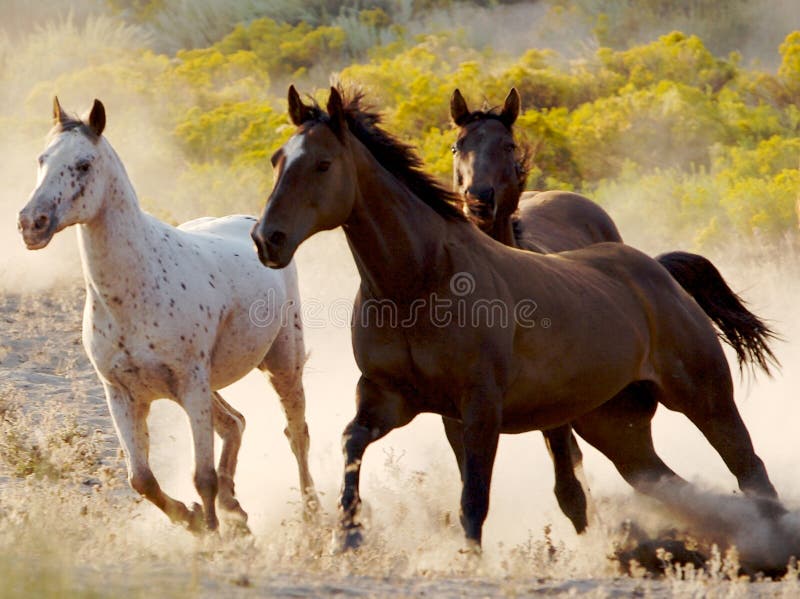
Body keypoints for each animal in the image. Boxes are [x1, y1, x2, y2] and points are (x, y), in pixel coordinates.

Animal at [17, 99, 318, 536]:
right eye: (42, 159)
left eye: (84, 164)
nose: (31, 224)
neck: (136, 292)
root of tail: (254, 225)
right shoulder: (122, 395)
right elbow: (141, 479)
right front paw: (194, 520)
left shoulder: (191, 386)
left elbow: (202, 476)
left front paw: (211, 534)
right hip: (207, 386)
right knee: (235, 423)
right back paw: (236, 510)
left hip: (280, 364)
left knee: (296, 434)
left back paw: (311, 514)